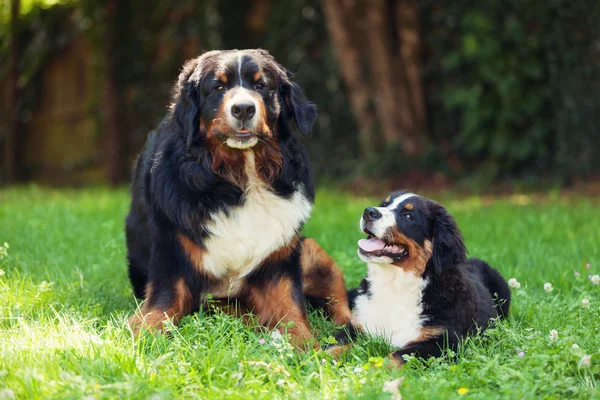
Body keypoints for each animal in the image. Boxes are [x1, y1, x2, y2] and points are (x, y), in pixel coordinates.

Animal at [126, 49, 352, 350]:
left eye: (261, 85)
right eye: (218, 87)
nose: (243, 108)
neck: (243, 177)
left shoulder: (278, 260)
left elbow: (291, 307)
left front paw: (307, 346)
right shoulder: (172, 251)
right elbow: (163, 303)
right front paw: (144, 334)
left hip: (312, 251)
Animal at [328, 191, 510, 366]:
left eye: (408, 215)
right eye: (384, 204)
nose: (369, 212)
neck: (394, 285)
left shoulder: (444, 341)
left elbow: (395, 357)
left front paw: (372, 373)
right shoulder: (357, 325)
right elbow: (333, 346)